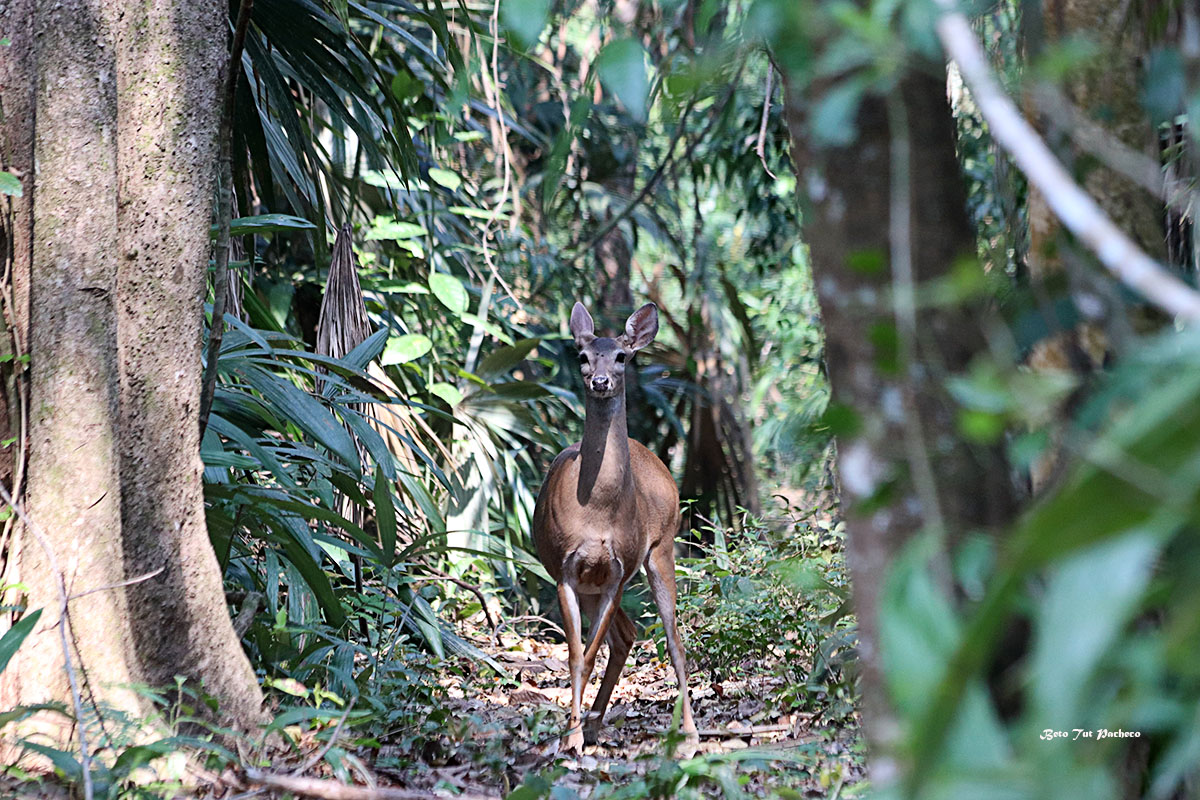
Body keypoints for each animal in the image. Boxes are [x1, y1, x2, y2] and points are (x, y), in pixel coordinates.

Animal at [530, 298, 700, 753]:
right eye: (582, 355)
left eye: (622, 356)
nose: (601, 380)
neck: (597, 512)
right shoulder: (567, 572)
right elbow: (576, 657)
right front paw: (572, 735)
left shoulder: (618, 573)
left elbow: (588, 655)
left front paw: (572, 737)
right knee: (626, 634)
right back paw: (594, 723)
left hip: (661, 548)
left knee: (674, 639)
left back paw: (689, 734)